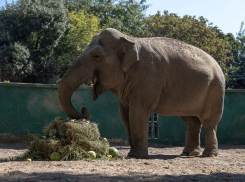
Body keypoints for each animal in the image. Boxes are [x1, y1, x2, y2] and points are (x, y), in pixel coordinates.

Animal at [58, 27, 226, 159]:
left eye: (96, 56)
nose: (84, 110)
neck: (129, 39)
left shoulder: (149, 76)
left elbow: (138, 112)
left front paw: (136, 156)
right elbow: (125, 116)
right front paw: (131, 154)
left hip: (216, 89)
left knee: (208, 122)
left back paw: (208, 155)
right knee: (191, 120)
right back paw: (188, 153)